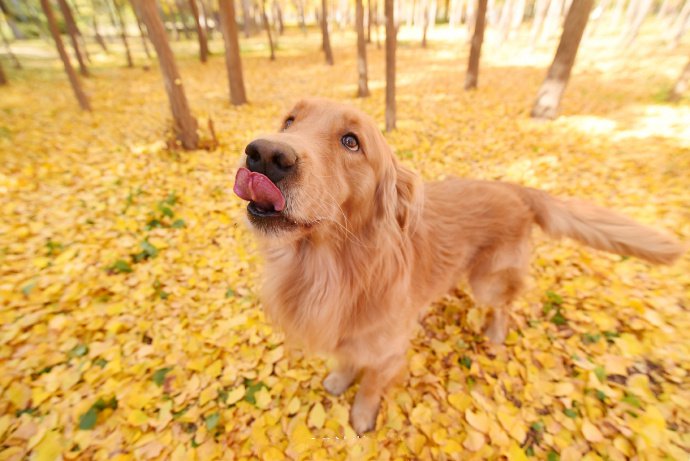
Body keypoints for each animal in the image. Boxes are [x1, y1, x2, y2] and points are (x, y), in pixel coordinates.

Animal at [232, 98, 684, 434]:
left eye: (351, 141)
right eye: (289, 121)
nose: (263, 155)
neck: (333, 271)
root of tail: (516, 188)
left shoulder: (389, 352)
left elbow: (371, 385)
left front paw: (361, 416)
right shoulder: (349, 336)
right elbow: (346, 361)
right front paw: (340, 381)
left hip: (487, 281)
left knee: (506, 302)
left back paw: (497, 331)